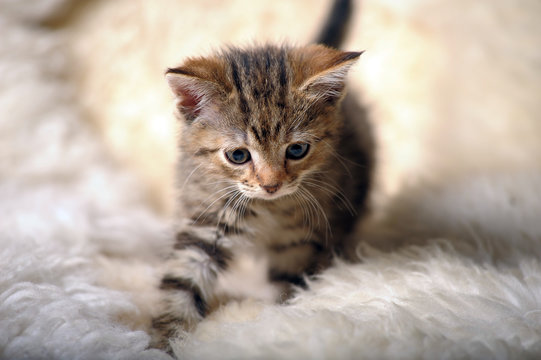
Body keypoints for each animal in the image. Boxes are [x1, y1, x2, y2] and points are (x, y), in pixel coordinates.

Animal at [150, 0, 374, 352]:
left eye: (297, 150)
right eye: (238, 156)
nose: (271, 185)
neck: (267, 208)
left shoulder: (303, 237)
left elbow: (290, 281)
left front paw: (276, 318)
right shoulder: (208, 216)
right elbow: (182, 279)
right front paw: (165, 340)